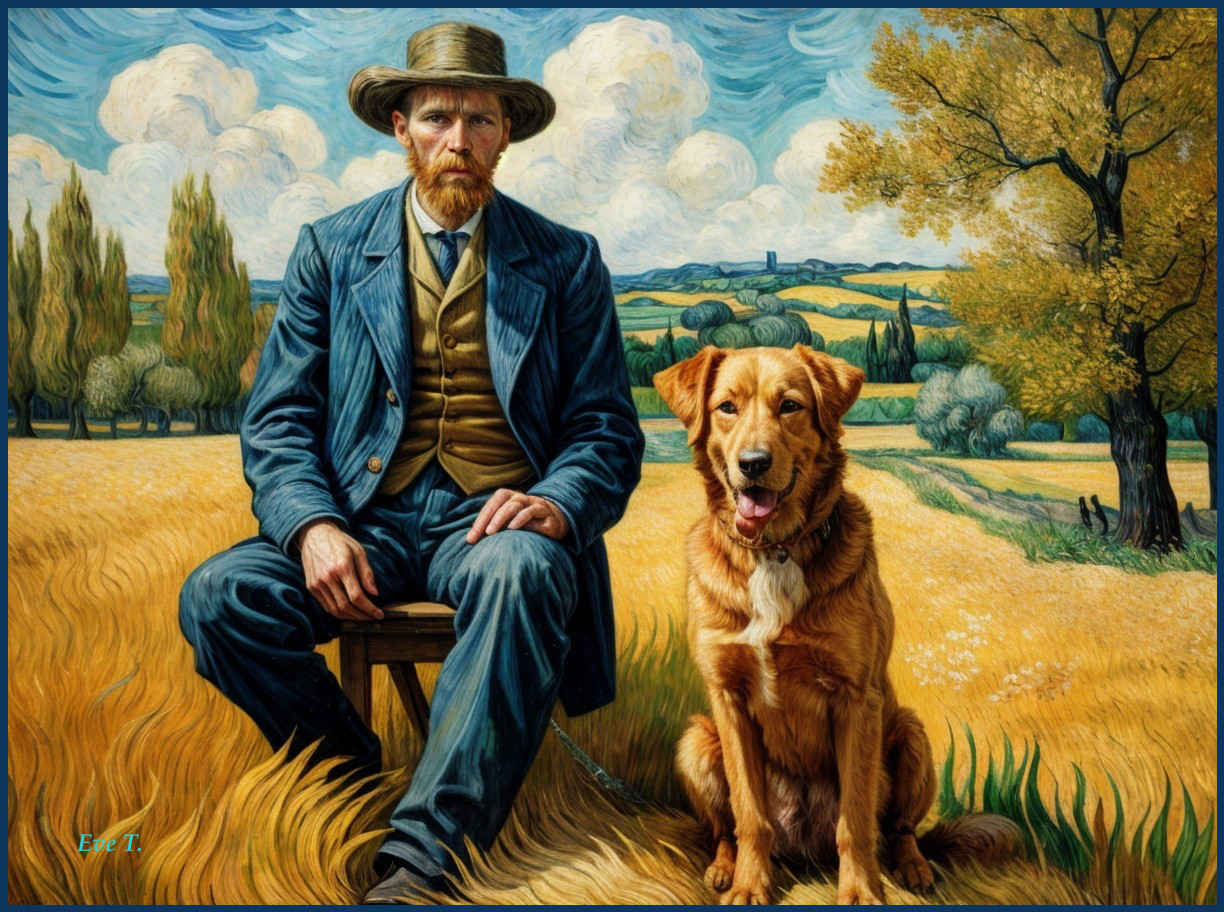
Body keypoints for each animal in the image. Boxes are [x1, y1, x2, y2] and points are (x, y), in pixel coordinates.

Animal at [656, 342, 1018, 905]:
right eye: (726, 407)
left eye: (789, 406)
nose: (752, 464)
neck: (776, 551)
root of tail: (805, 846)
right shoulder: (727, 698)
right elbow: (749, 814)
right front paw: (749, 886)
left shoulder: (856, 699)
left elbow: (856, 819)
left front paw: (861, 890)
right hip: (697, 739)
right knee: (726, 829)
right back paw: (723, 868)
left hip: (910, 735)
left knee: (899, 830)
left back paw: (914, 869)